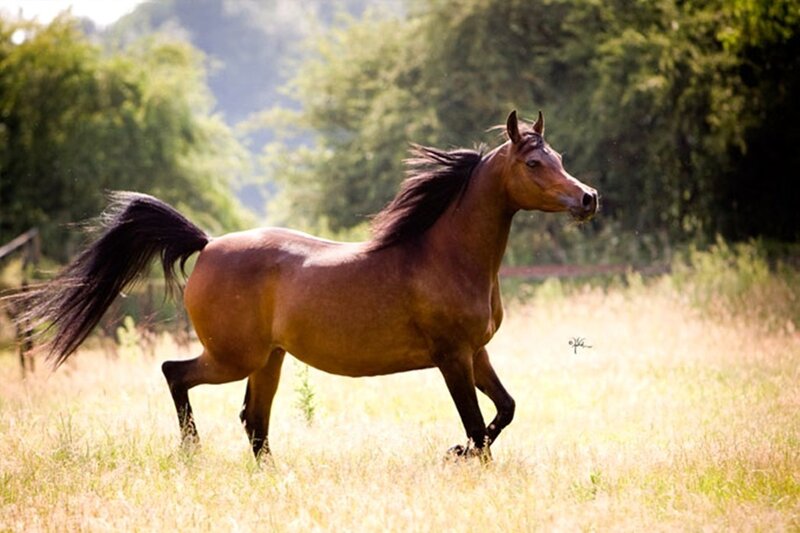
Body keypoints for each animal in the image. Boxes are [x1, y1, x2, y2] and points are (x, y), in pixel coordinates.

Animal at [14, 110, 598, 461]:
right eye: (534, 162)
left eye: (560, 158)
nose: (588, 198)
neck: (445, 256)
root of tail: (207, 244)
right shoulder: (452, 356)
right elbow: (477, 426)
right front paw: (464, 458)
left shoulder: (476, 352)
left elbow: (505, 410)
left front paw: (459, 455)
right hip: (235, 357)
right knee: (176, 375)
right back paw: (192, 450)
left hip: (267, 361)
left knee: (254, 422)